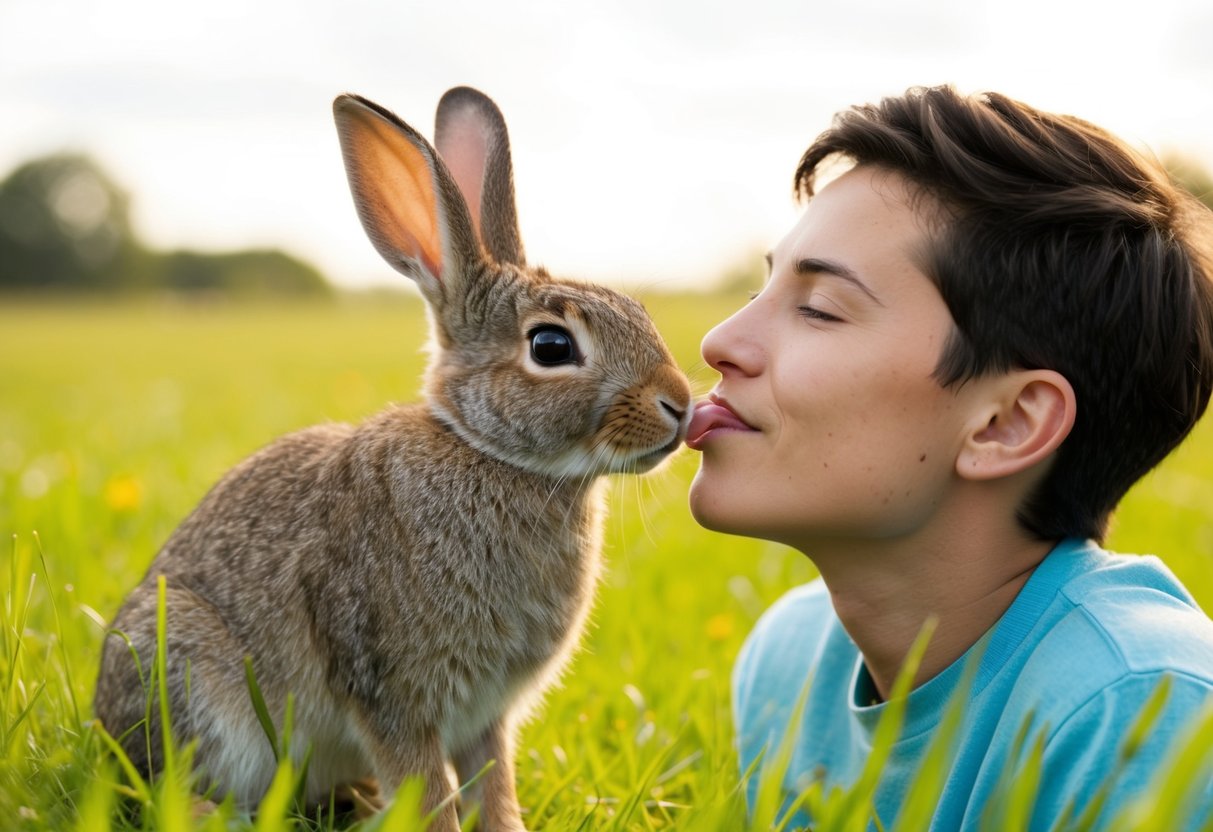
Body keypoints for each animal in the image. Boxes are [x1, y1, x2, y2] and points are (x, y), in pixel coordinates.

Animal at [93, 86, 692, 831]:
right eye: (551, 346)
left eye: (637, 309)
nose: (680, 404)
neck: (487, 454)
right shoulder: (390, 692)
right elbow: (428, 789)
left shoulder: (485, 715)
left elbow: (493, 784)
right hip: (190, 672)